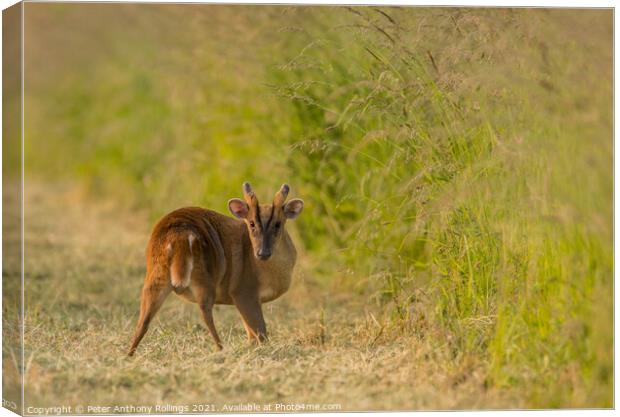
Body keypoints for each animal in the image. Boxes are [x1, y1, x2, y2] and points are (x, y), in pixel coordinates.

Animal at [129, 182, 306, 354]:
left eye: (278, 224)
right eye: (251, 223)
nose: (263, 253)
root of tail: (179, 235)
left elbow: (251, 333)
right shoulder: (243, 291)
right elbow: (260, 332)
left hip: (155, 274)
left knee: (143, 321)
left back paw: (129, 354)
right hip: (204, 276)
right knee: (205, 312)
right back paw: (220, 348)